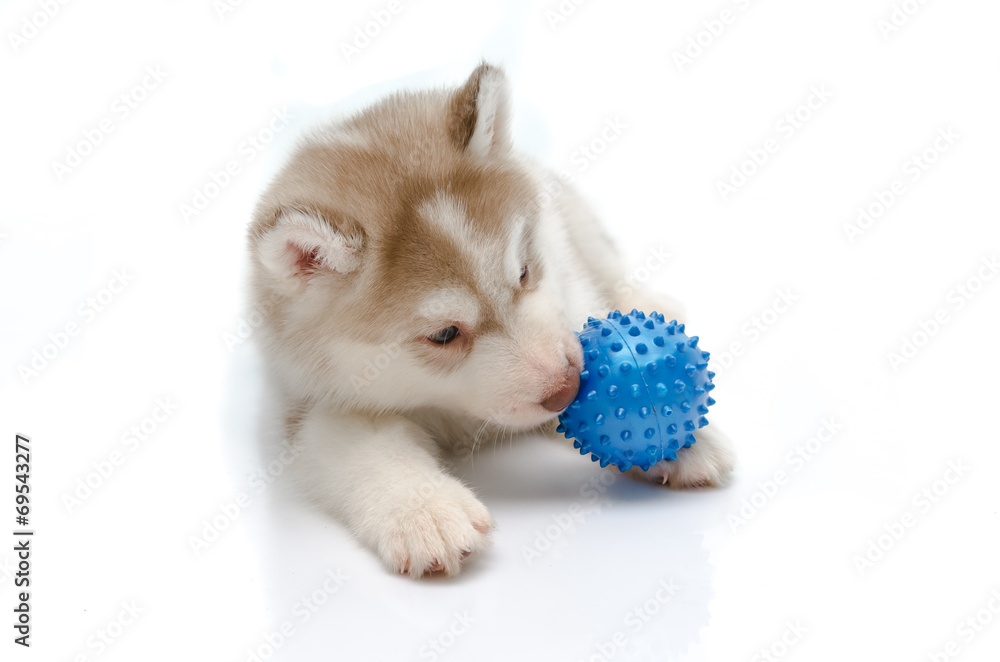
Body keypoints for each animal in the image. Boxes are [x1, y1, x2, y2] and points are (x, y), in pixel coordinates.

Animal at [248, 63, 736, 580]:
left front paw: (688, 440)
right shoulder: (310, 404)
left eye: (523, 272)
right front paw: (425, 511)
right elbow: (363, 445)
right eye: (444, 334)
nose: (567, 388)